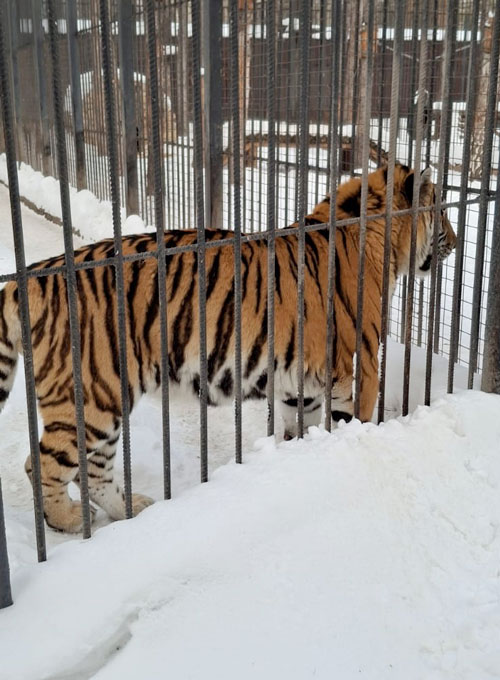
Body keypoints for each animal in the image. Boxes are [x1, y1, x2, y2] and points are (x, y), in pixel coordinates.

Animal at [0, 163, 456, 532]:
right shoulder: (358, 370)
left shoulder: (302, 385)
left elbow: (301, 428)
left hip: (105, 400)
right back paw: (70, 521)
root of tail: (26, 278)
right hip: (93, 394)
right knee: (42, 463)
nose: (455, 241)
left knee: (93, 469)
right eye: (441, 210)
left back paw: (132, 509)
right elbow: (353, 422)